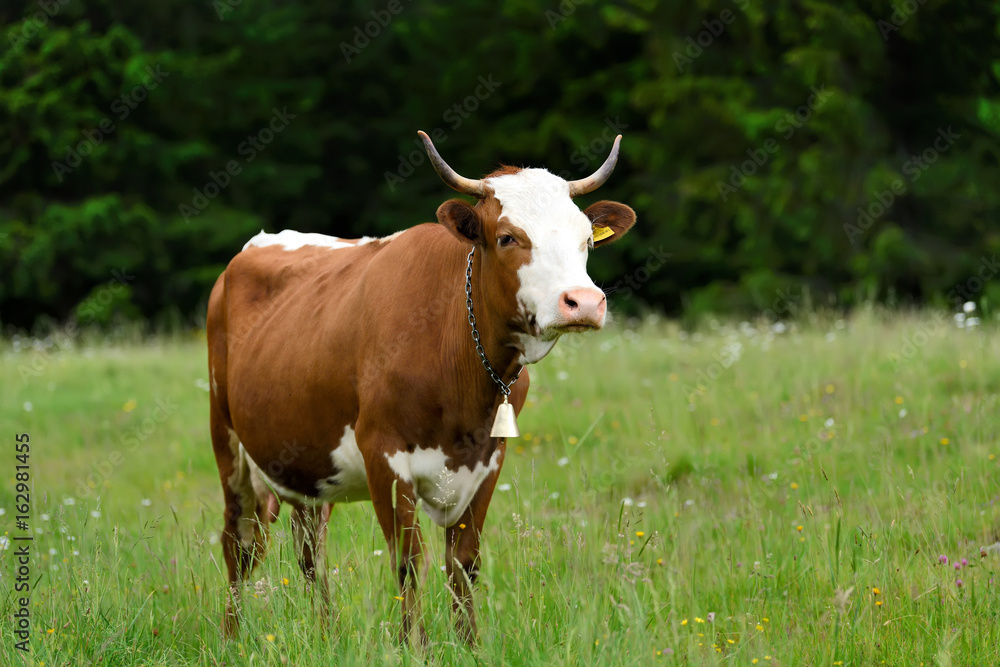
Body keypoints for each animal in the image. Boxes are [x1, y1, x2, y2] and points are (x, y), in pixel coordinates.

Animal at [206, 128, 636, 644]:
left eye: (586, 239)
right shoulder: (383, 455)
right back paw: (230, 638)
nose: (584, 302)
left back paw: (326, 633)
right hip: (227, 439)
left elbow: (464, 562)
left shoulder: (489, 459)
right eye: (507, 237)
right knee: (239, 543)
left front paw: (470, 645)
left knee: (309, 548)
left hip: (304, 455)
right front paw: (416, 646)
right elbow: (410, 563)